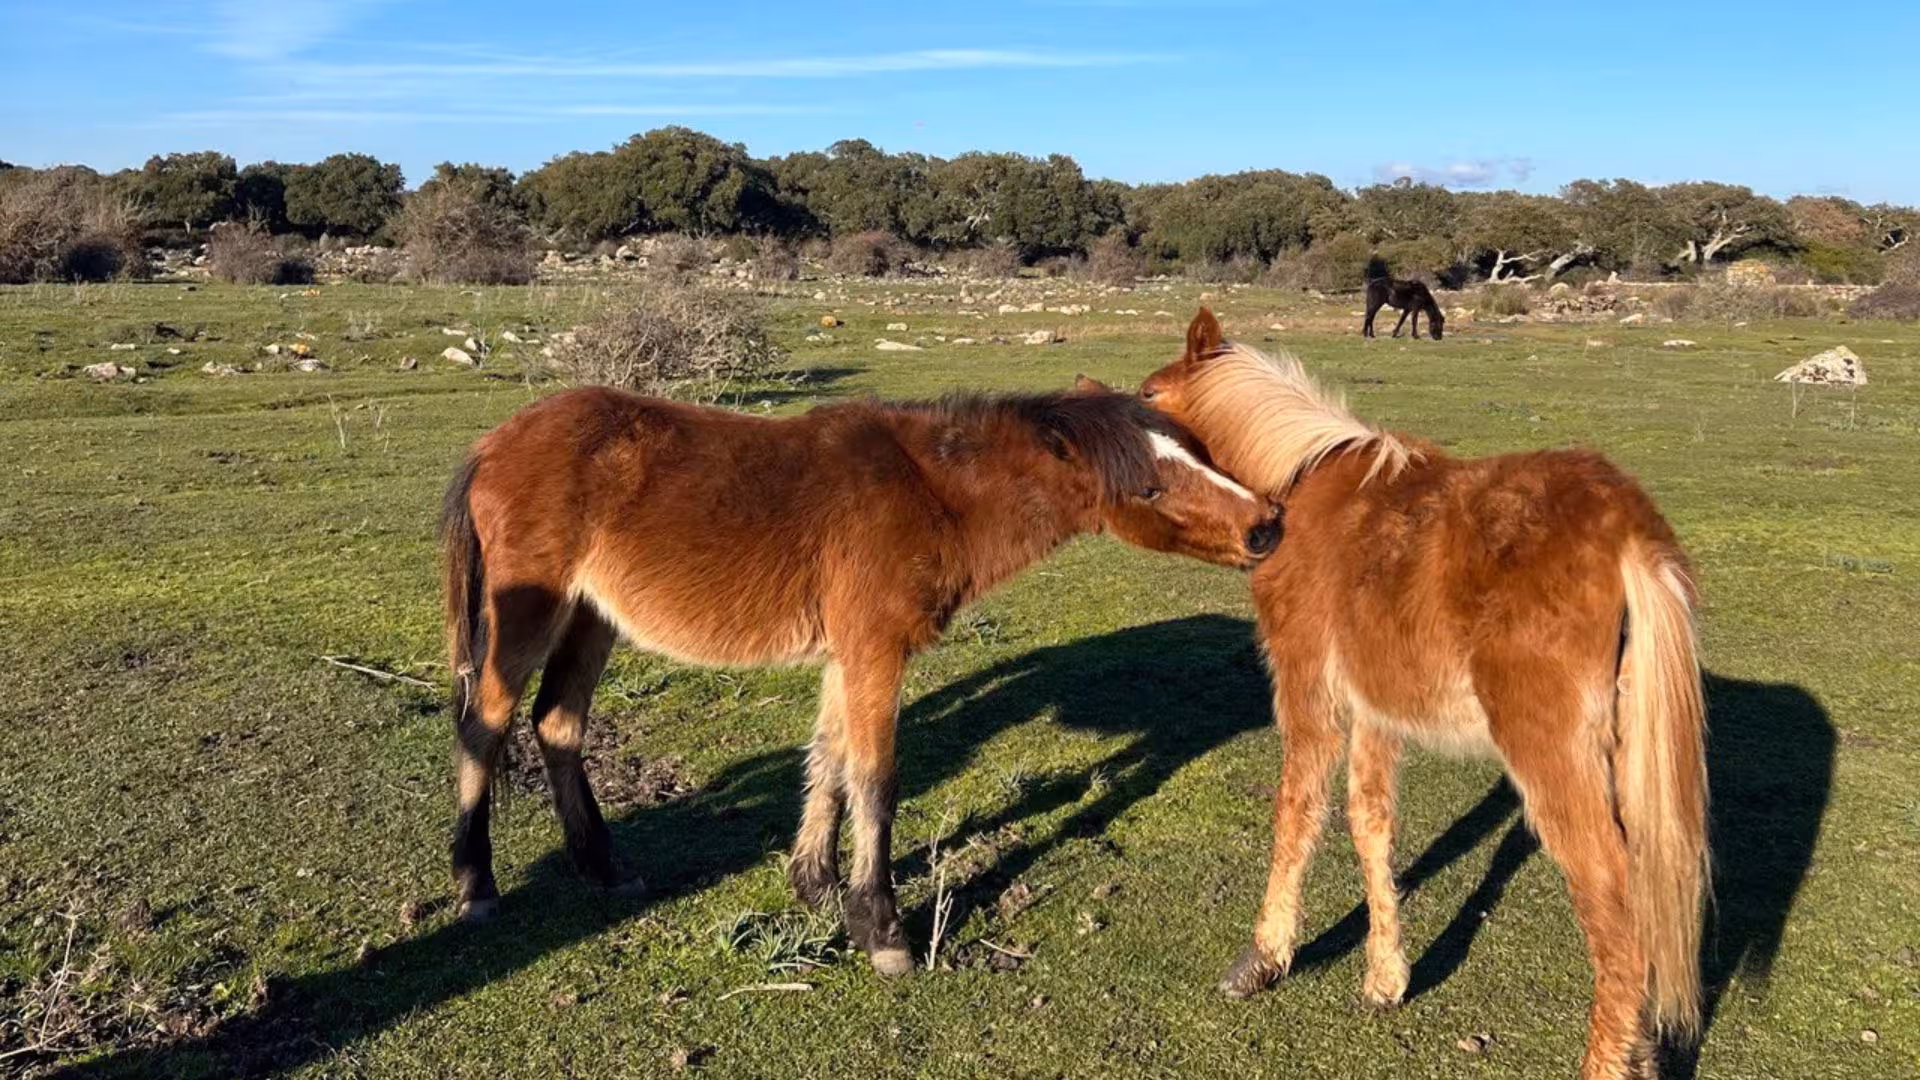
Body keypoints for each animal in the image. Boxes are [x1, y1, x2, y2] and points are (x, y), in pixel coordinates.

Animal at [439, 379, 1281, 976]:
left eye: (1201, 452)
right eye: (1148, 488)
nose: (1266, 525)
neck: (929, 493)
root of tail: (494, 442)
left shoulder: (846, 657)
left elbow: (830, 762)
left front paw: (815, 887)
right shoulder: (875, 652)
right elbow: (876, 780)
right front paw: (880, 926)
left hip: (593, 617)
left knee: (557, 722)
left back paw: (603, 867)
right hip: (528, 616)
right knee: (486, 725)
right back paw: (476, 885)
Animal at [1140, 310, 1707, 1079]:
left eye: (1148, 397)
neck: (1300, 491)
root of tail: (1626, 530)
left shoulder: (1309, 690)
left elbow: (1298, 810)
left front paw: (1264, 957)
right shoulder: (1375, 710)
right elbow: (1370, 824)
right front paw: (1386, 978)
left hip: (1555, 758)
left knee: (1619, 915)